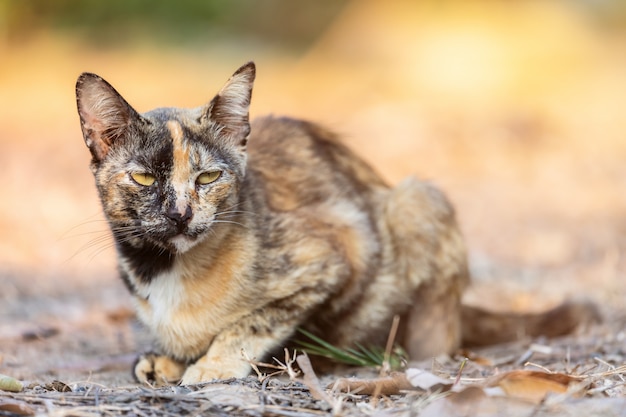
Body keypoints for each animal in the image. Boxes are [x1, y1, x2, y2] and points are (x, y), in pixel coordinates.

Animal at [75, 60, 596, 386]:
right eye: (144, 176)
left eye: (208, 177)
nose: (179, 213)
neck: (165, 273)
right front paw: (169, 360)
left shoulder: (341, 248)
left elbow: (256, 321)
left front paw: (212, 365)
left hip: (418, 201)